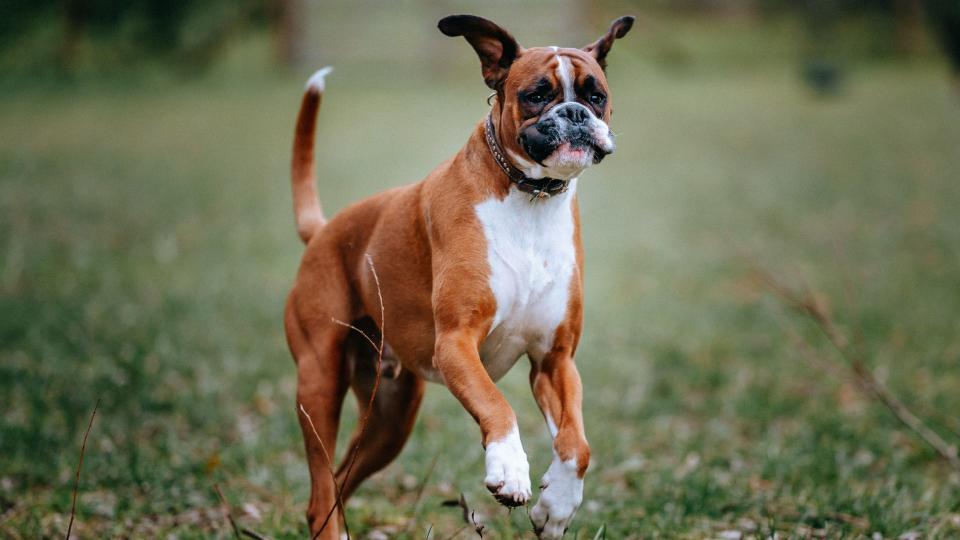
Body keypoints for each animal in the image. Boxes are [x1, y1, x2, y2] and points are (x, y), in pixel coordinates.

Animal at [282, 13, 632, 540]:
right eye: (536, 94)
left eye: (595, 95)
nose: (573, 113)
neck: (530, 198)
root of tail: (323, 230)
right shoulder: (456, 342)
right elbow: (496, 404)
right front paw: (510, 468)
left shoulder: (555, 361)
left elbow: (577, 445)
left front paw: (557, 507)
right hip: (319, 383)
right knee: (321, 486)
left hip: (390, 418)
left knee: (340, 480)